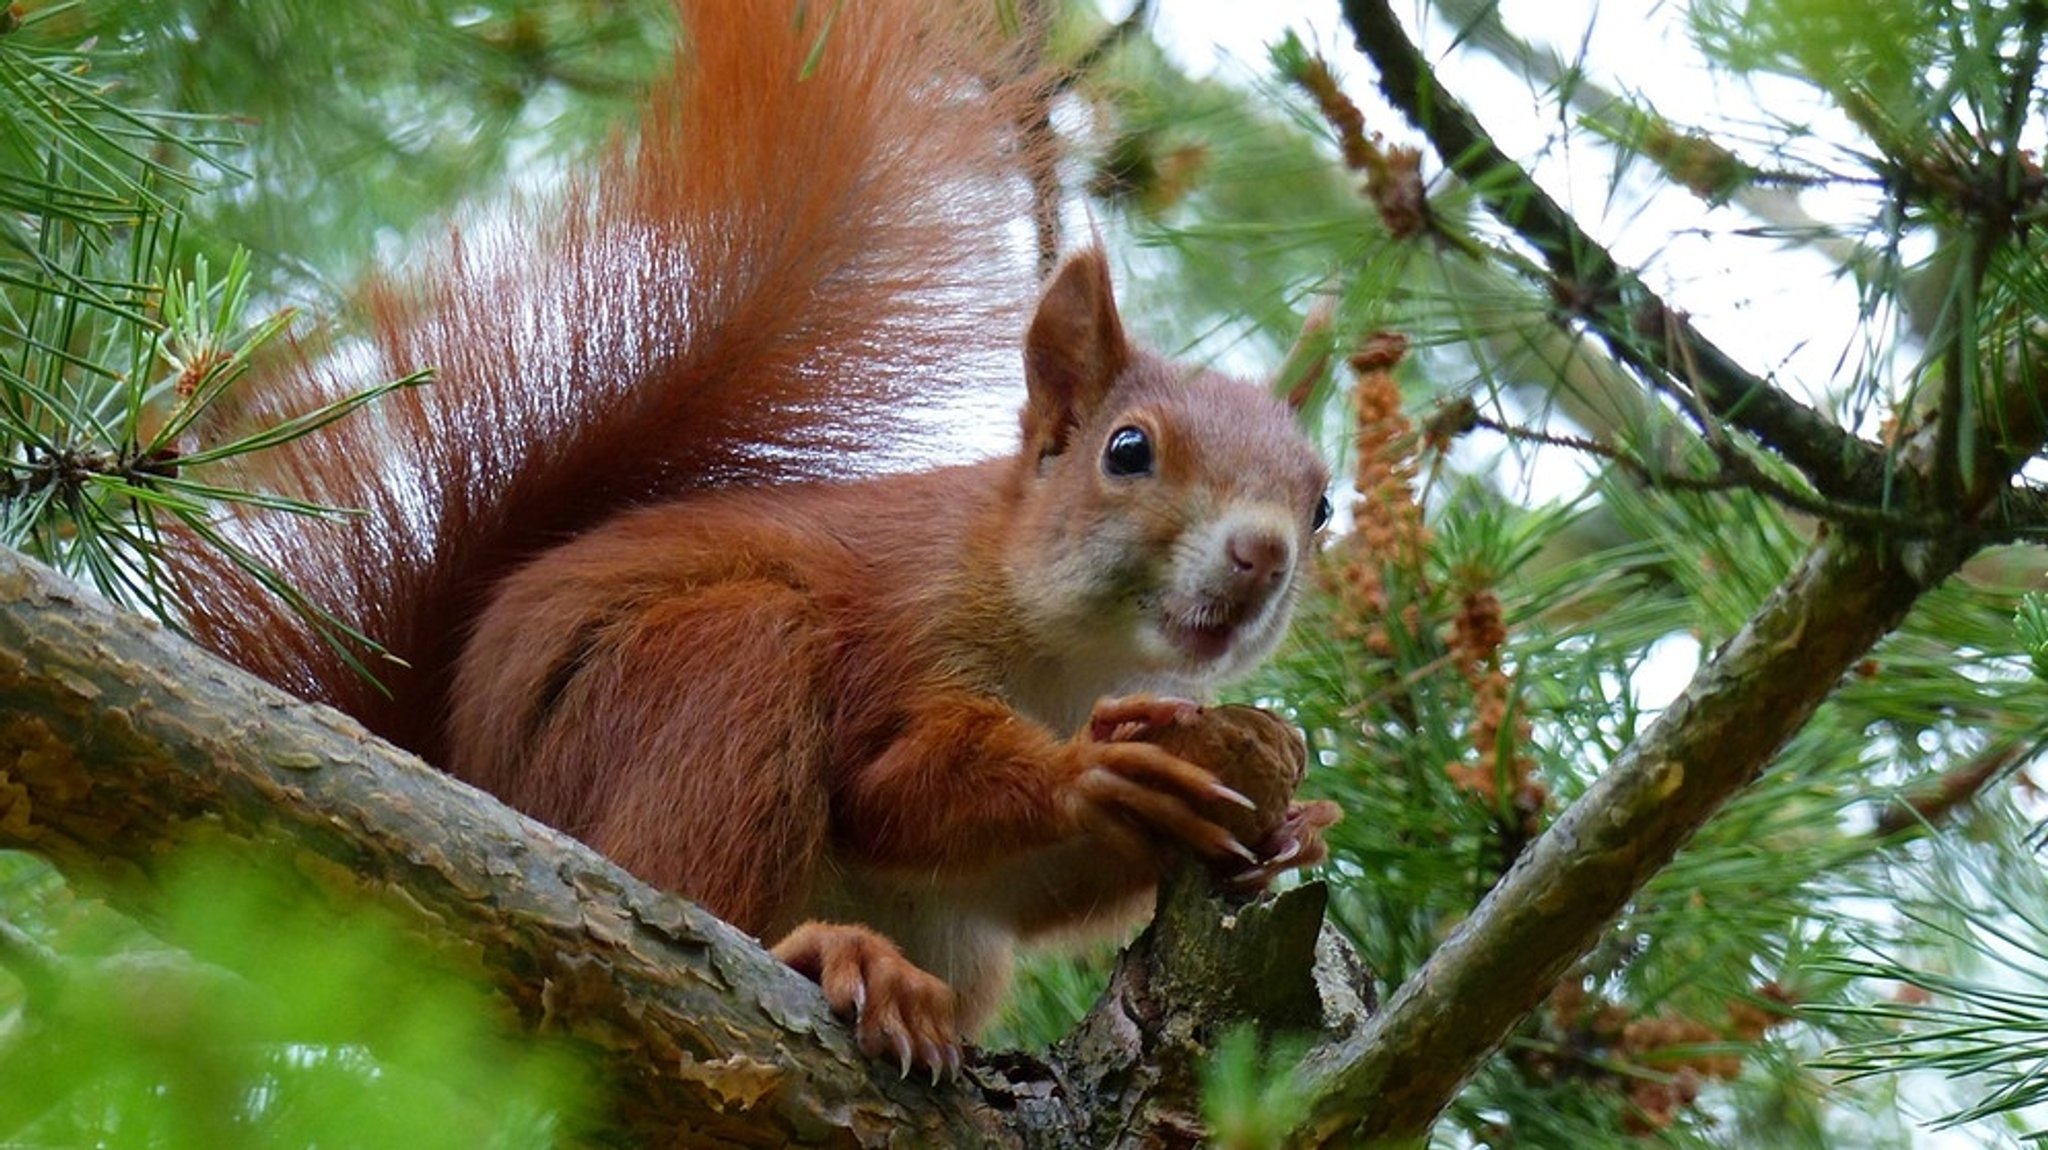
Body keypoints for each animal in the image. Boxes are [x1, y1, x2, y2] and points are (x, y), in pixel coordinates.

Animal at [172, 0, 1327, 1072]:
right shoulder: (903, 630)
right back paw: (828, 954)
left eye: (1321, 503)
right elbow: (888, 792)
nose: (1263, 552)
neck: (1077, 657)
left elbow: (1036, 887)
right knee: (693, 862)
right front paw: (1088, 770)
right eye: (1127, 451)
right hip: (689, 681)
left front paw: (1286, 812)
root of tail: (461, 767)